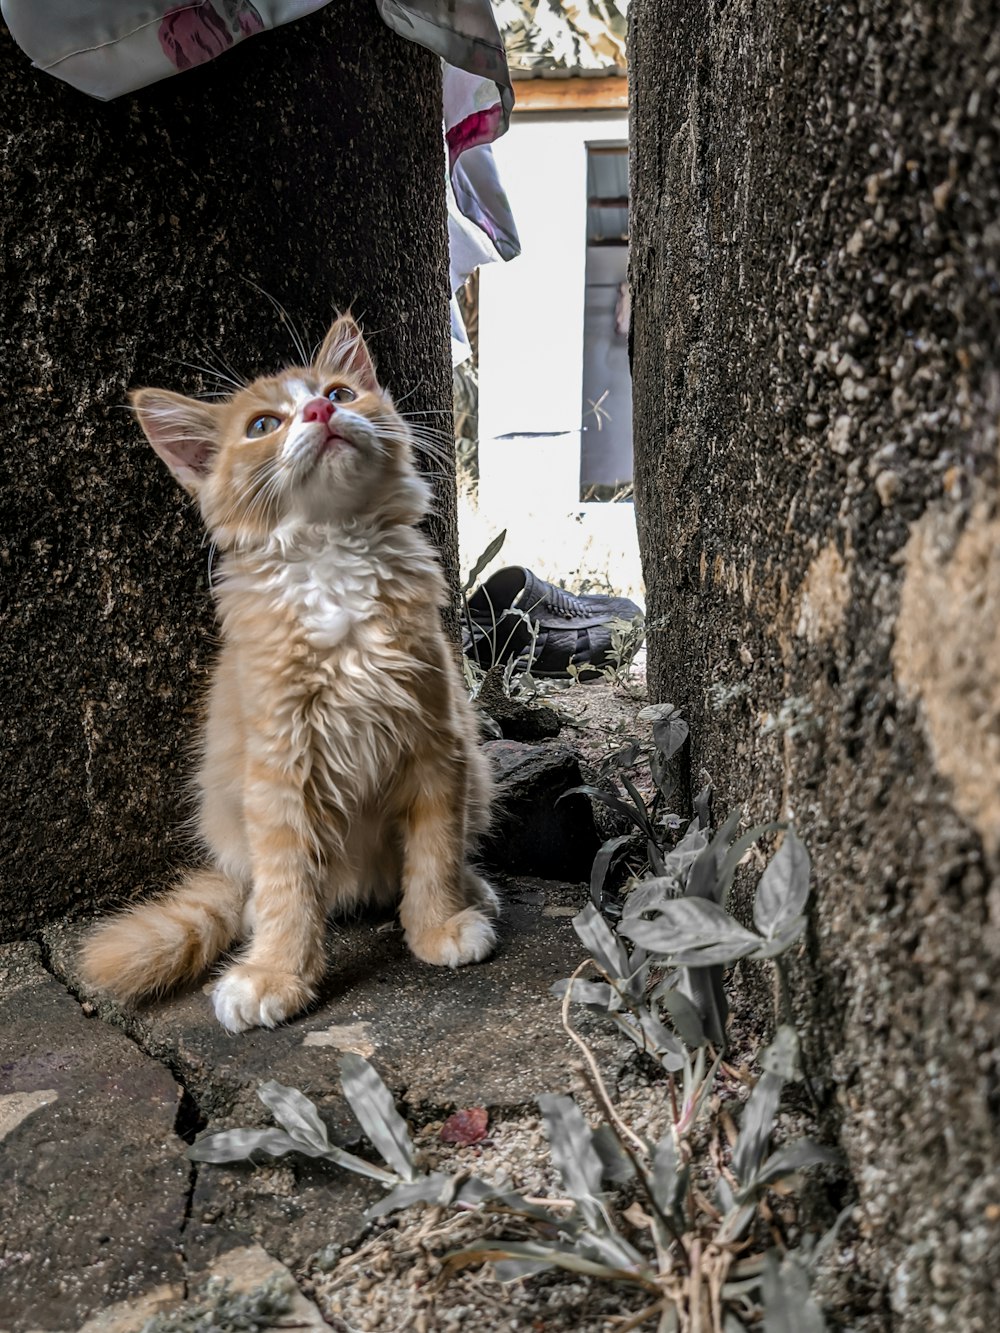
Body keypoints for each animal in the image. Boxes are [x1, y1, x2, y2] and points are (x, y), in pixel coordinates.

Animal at [80, 314, 498, 1029]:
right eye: (260, 426)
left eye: (340, 392)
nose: (320, 411)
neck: (335, 558)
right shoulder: (279, 770)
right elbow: (290, 884)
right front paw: (276, 972)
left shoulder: (438, 745)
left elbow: (434, 851)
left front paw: (438, 924)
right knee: (262, 887)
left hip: (478, 772)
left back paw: (471, 887)